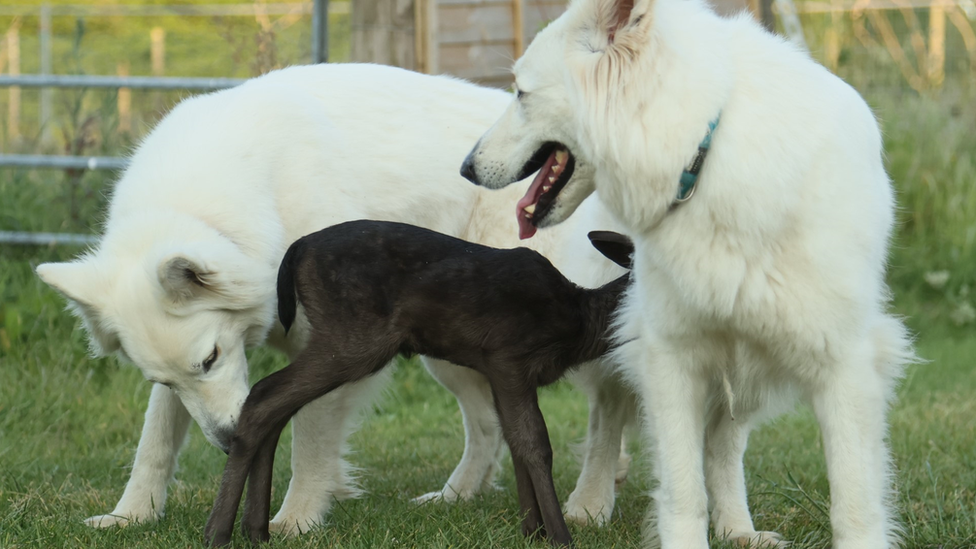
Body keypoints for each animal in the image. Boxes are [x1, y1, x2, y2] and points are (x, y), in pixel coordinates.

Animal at [36, 63, 632, 532]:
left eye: (210, 358)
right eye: (163, 379)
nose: (227, 442)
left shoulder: (325, 350)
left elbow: (310, 435)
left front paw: (297, 517)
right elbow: (155, 440)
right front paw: (131, 514)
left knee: (608, 410)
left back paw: (592, 502)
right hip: (455, 349)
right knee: (488, 424)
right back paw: (457, 496)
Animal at [462, 0, 920, 544]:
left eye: (521, 94)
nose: (466, 167)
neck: (705, 150)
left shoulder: (844, 362)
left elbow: (853, 497)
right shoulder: (669, 356)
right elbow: (682, 487)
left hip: (746, 363)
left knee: (724, 445)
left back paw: (738, 529)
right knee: (606, 420)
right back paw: (590, 503)